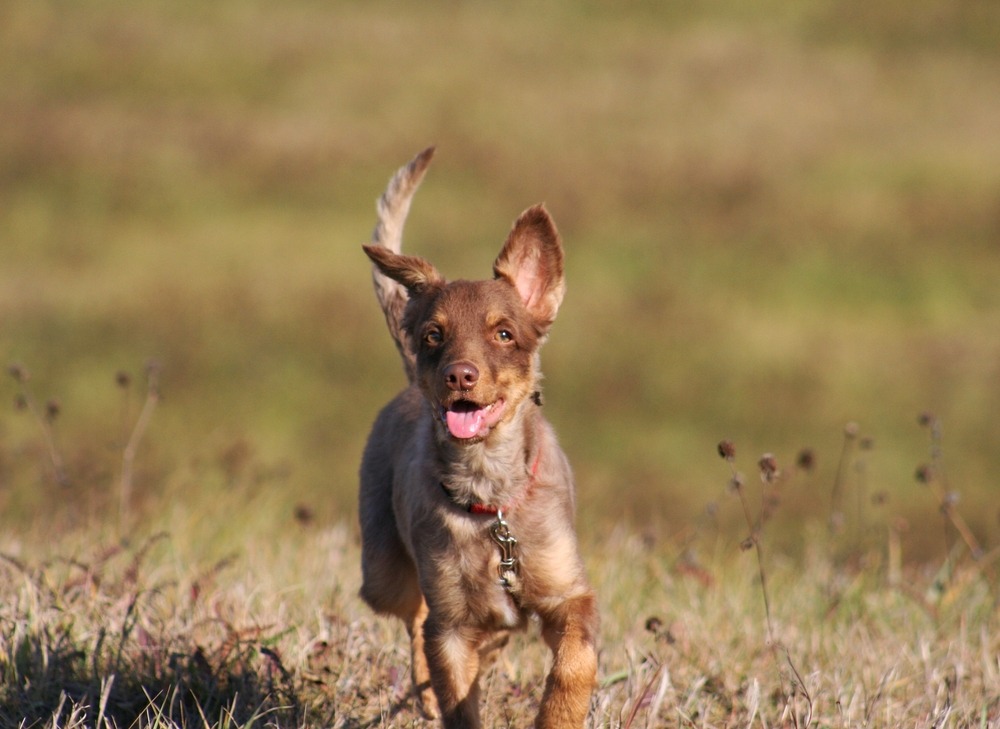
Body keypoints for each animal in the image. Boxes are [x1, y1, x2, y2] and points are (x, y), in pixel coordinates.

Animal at [358, 145, 596, 724]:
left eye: (504, 333)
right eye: (432, 336)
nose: (460, 376)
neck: (491, 500)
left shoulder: (569, 595)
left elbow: (574, 663)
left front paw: (558, 716)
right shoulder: (451, 627)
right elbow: (455, 694)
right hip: (383, 571)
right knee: (414, 618)